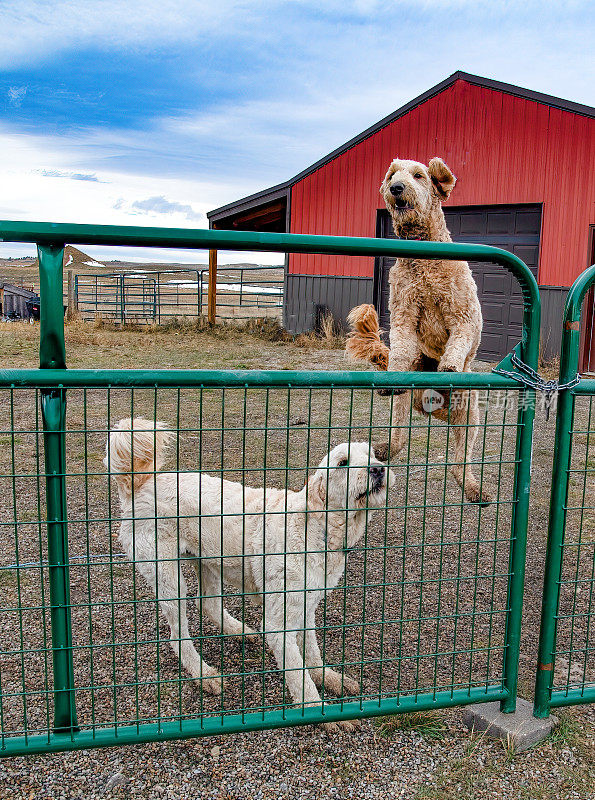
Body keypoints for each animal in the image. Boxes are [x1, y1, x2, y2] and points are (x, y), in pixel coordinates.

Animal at [106, 418, 396, 732]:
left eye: (373, 456)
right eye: (343, 463)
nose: (378, 469)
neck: (317, 526)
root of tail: (141, 485)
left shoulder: (306, 606)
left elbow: (312, 653)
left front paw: (329, 678)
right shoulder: (279, 623)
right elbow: (298, 674)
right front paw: (319, 710)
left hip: (208, 560)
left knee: (208, 604)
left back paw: (240, 632)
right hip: (167, 574)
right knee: (178, 635)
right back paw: (204, 674)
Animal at [350, 158, 488, 506]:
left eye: (419, 175)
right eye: (391, 175)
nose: (397, 188)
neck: (424, 258)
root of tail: (434, 408)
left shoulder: (464, 316)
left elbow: (458, 341)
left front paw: (449, 367)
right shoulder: (403, 314)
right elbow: (400, 344)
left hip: (469, 413)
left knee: (460, 463)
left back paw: (474, 489)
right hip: (403, 401)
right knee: (398, 439)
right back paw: (383, 448)